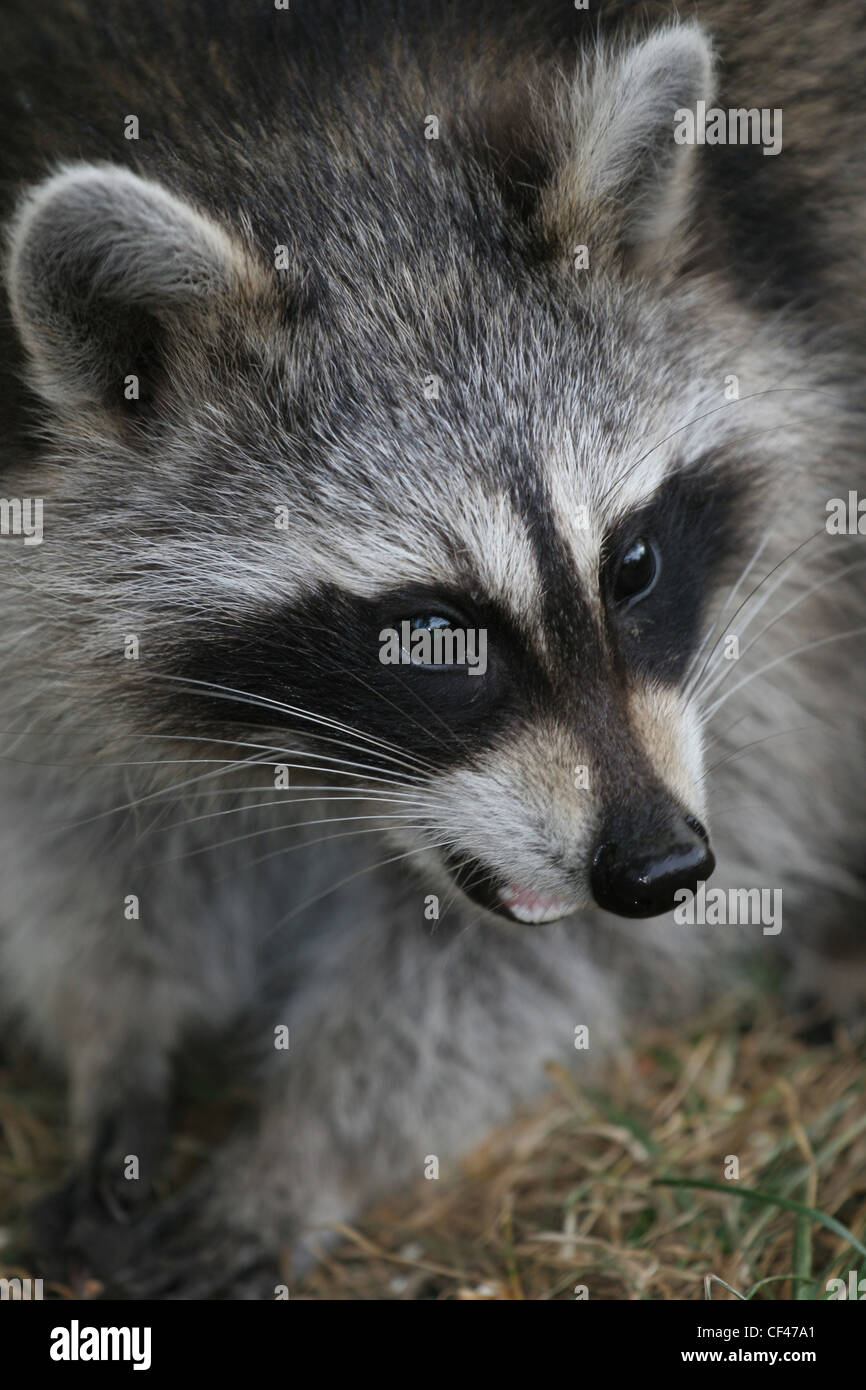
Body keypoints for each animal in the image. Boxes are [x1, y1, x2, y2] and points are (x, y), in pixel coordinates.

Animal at [0, 0, 864, 1298]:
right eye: (430, 635)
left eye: (633, 565)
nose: (659, 867)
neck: (317, 123)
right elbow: (76, 822)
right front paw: (118, 1041)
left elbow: (553, 948)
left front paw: (310, 1141)